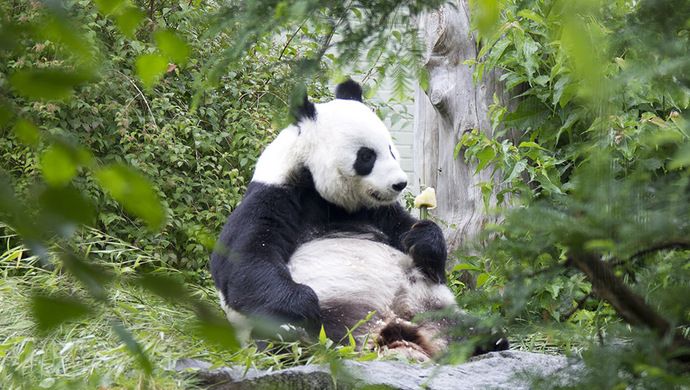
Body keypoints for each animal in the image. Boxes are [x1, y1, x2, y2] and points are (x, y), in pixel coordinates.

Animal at [210, 78, 506, 360]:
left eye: (391, 149)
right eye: (366, 156)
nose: (400, 183)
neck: (322, 193)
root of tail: (389, 332)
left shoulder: (376, 211)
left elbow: (409, 234)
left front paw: (423, 239)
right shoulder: (275, 196)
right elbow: (243, 261)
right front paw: (304, 303)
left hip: (430, 308)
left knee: (472, 326)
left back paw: (488, 341)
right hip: (330, 319)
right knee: (285, 338)